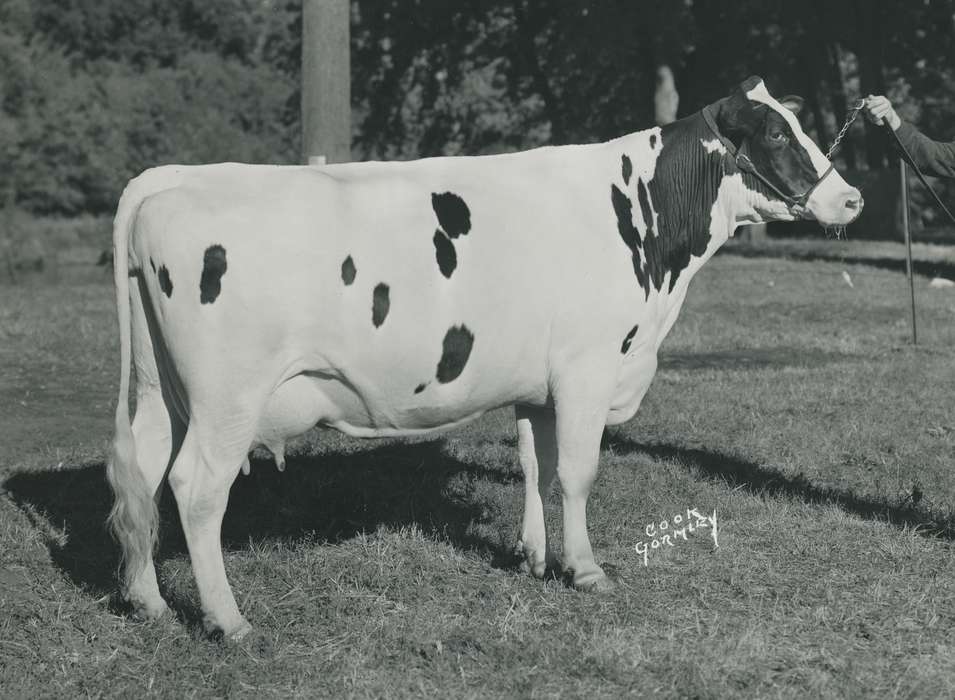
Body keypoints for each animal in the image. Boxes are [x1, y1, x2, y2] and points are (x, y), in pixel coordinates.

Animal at [106, 76, 862, 641]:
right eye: (775, 134)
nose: (850, 197)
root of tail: (169, 181)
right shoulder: (588, 367)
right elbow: (578, 473)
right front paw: (585, 569)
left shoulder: (537, 381)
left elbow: (536, 464)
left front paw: (534, 557)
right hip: (227, 398)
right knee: (196, 489)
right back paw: (227, 620)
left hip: (156, 389)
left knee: (143, 472)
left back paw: (149, 602)